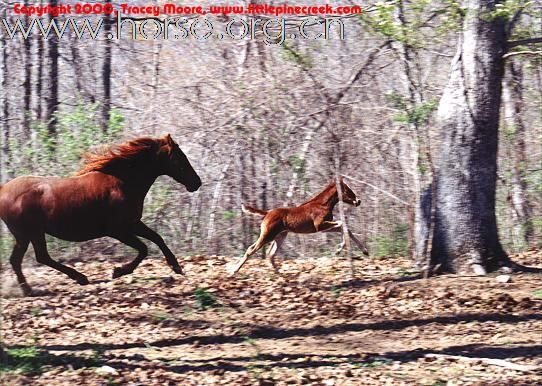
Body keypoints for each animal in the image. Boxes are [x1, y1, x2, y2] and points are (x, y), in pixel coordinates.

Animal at [0, 135, 202, 296]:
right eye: (180, 158)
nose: (197, 183)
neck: (123, 182)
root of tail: (3, 189)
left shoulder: (133, 223)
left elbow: (157, 238)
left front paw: (176, 267)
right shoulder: (118, 230)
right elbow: (144, 248)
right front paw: (119, 271)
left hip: (28, 235)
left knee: (25, 259)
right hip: (29, 233)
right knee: (37, 257)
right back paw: (67, 281)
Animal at [230, 178, 370, 274]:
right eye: (347, 190)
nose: (358, 201)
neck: (322, 204)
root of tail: (267, 213)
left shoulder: (323, 228)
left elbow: (345, 228)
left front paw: (364, 251)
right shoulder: (320, 226)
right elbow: (342, 224)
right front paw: (339, 249)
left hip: (281, 235)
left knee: (271, 254)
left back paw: (279, 274)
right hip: (268, 235)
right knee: (251, 249)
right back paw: (234, 271)